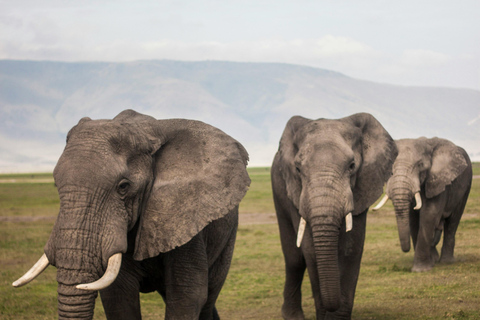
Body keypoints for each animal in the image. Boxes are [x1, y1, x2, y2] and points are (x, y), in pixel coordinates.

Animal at [12, 109, 251, 318]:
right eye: (55, 184)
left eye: (123, 187)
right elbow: (118, 298)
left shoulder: (184, 216)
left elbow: (187, 296)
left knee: (208, 298)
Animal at [270, 113, 398, 320]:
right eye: (297, 169)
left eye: (352, 166)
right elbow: (311, 250)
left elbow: (351, 248)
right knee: (294, 259)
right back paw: (292, 316)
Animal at [372, 136, 472, 272]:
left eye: (420, 165)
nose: (406, 249)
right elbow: (413, 219)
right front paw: (429, 263)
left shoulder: (438, 181)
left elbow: (429, 214)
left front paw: (420, 270)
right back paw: (435, 259)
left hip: (466, 185)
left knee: (453, 221)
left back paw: (446, 261)